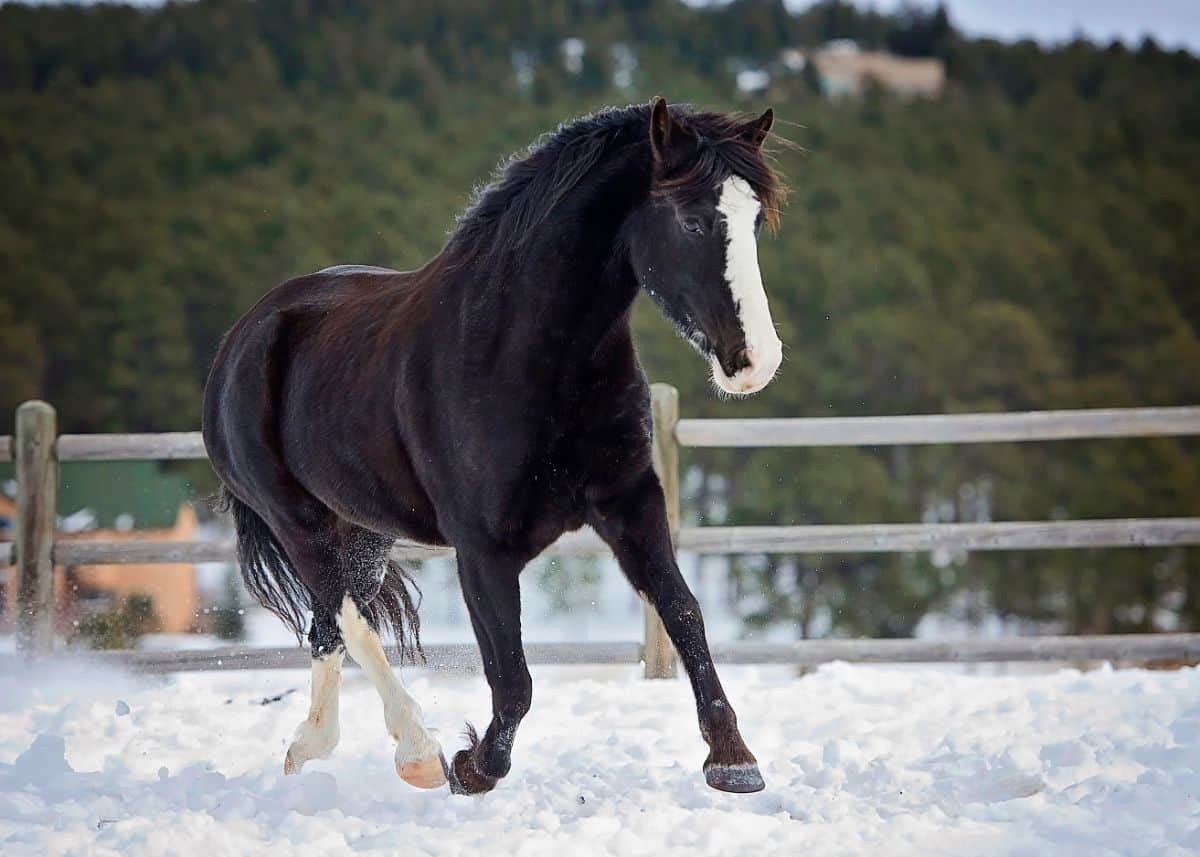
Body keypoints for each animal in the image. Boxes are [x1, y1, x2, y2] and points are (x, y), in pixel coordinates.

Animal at [204, 96, 787, 792]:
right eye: (694, 222)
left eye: (754, 221)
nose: (754, 363)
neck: (524, 356)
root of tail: (245, 332)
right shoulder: (481, 548)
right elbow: (512, 678)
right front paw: (472, 766)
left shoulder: (631, 504)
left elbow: (683, 613)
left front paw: (734, 760)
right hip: (298, 520)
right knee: (348, 616)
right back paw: (417, 753)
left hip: (362, 531)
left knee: (331, 627)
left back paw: (307, 750)